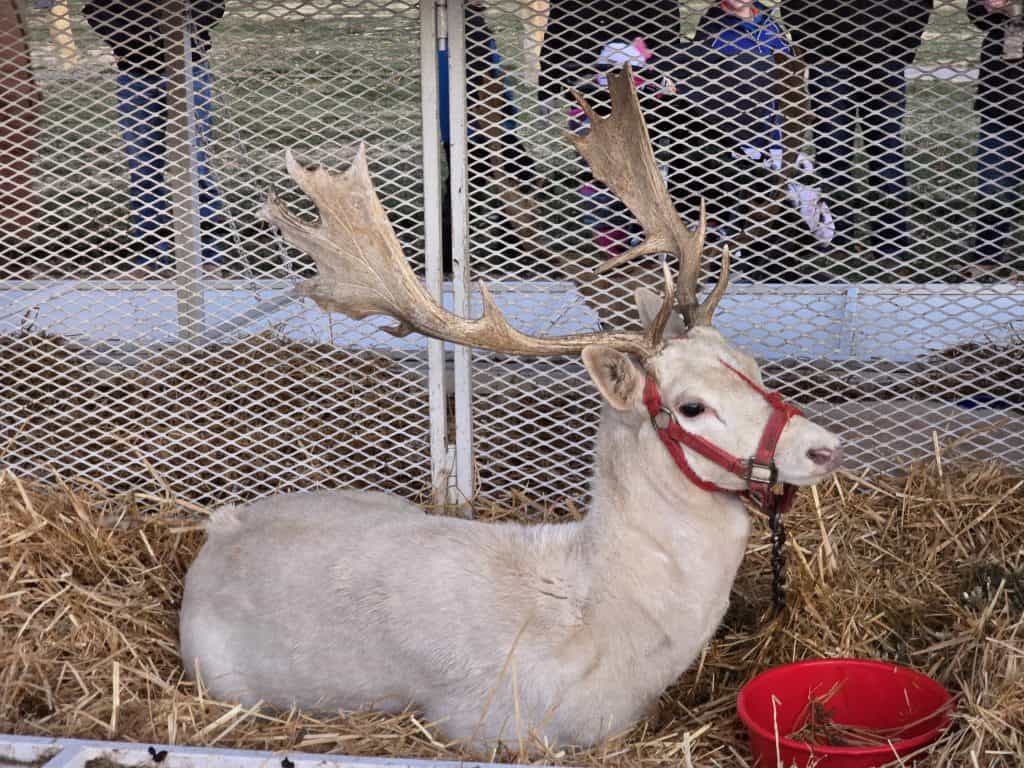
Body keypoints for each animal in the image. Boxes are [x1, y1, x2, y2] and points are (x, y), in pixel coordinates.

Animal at [178, 66, 842, 756]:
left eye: (751, 365)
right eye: (692, 406)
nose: (823, 447)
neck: (606, 633)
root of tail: (220, 528)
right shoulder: (485, 723)